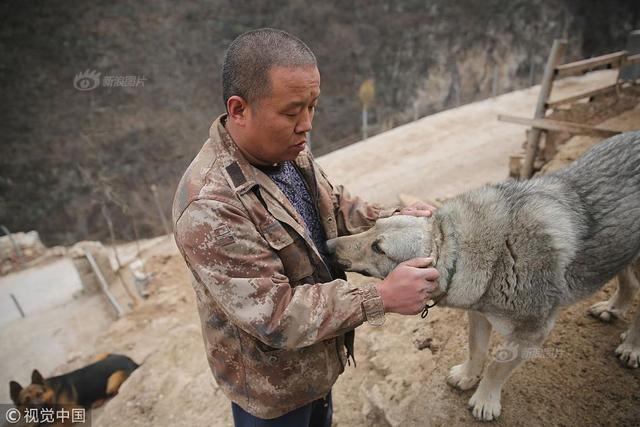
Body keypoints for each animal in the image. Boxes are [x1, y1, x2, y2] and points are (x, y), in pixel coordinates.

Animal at [7, 354, 139, 412]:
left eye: (39, 394)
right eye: (26, 400)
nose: (39, 409)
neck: (53, 392)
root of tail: (134, 362)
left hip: (112, 381)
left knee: (114, 391)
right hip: (100, 356)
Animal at [328, 131, 640, 422]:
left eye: (378, 248)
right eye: (374, 225)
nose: (328, 246)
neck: (498, 252)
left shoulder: (533, 333)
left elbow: (497, 365)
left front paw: (485, 401)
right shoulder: (478, 314)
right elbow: (476, 350)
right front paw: (467, 377)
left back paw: (631, 347)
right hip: (622, 252)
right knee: (630, 283)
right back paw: (612, 309)